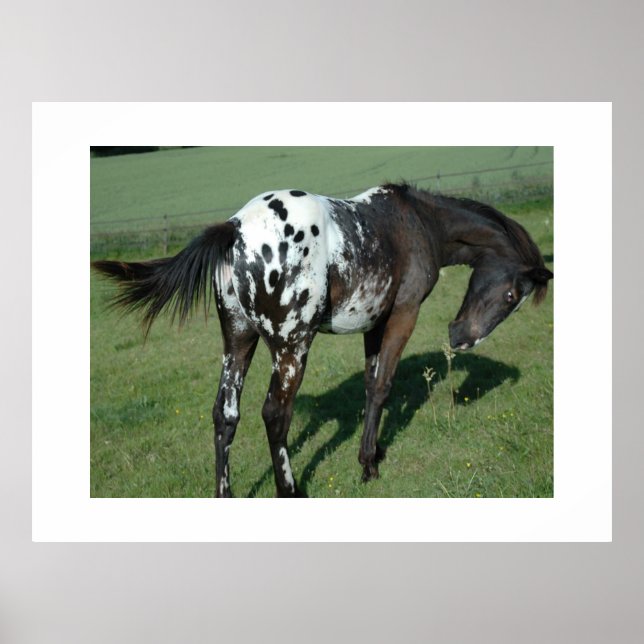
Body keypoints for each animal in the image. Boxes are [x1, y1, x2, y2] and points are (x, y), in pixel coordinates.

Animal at [93, 183, 553, 497]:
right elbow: (383, 386)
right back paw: (290, 491)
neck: (416, 221)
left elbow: (369, 386)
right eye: (512, 296)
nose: (460, 338)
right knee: (275, 413)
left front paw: (373, 454)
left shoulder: (374, 324)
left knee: (225, 414)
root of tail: (235, 229)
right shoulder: (403, 316)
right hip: (292, 347)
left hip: (238, 340)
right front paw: (368, 466)